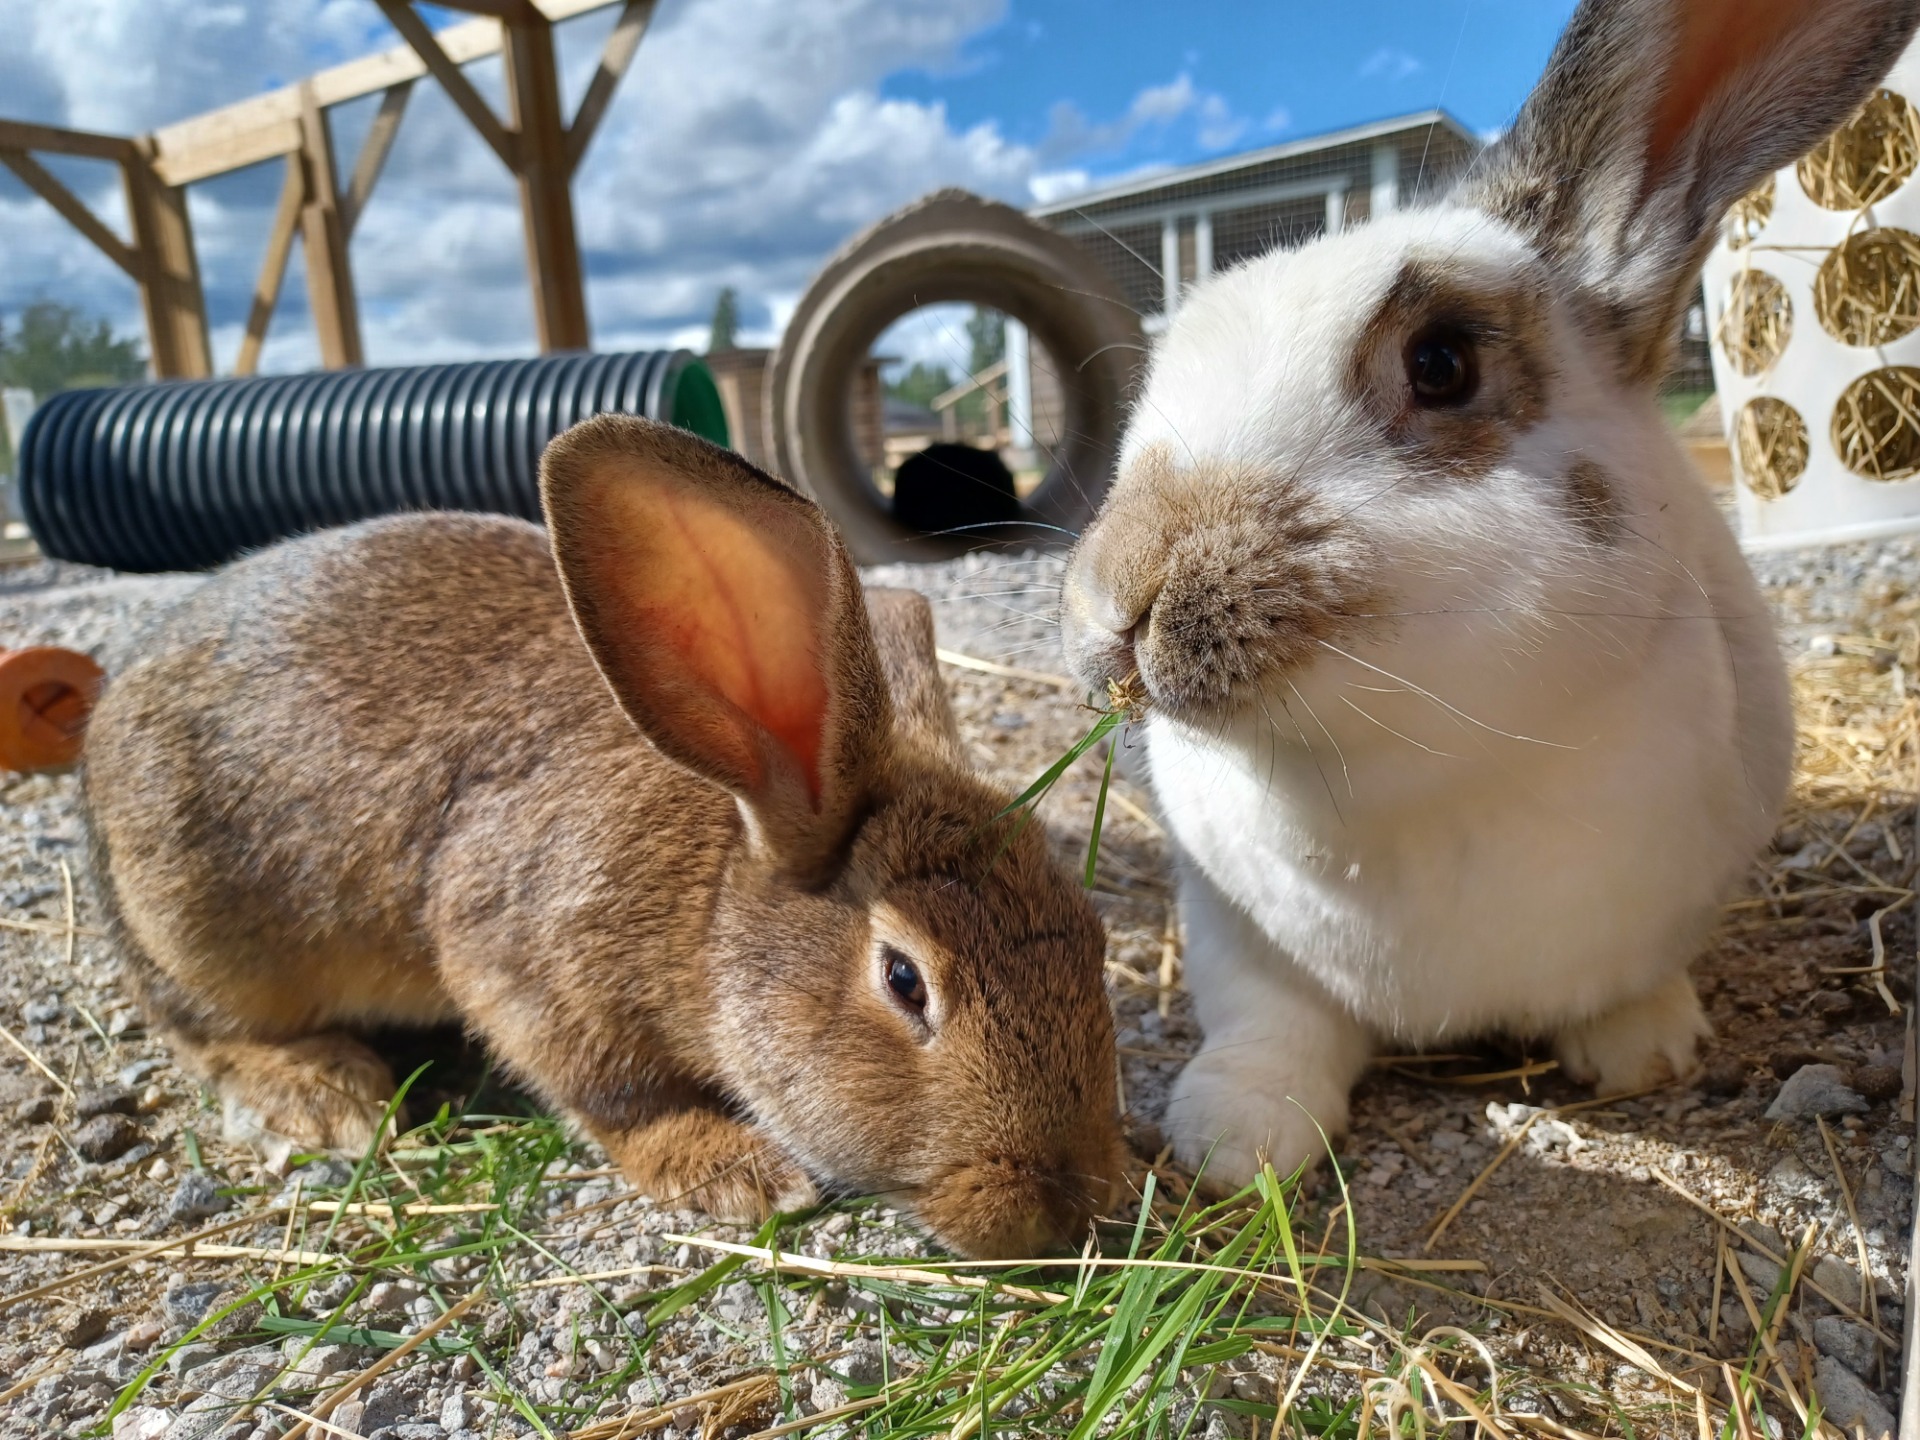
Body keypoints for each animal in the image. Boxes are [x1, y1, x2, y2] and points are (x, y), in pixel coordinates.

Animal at [83, 414, 1123, 1259]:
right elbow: (614, 1098)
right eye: (905, 980)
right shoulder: (524, 966)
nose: (1065, 1205)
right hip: (204, 928)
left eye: (1095, 936)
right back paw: (327, 1095)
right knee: (198, 1028)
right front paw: (736, 1171)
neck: (712, 902)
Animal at [1060, 0, 1919, 1190]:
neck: (1413, 780)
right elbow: (1270, 1022)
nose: (1115, 599)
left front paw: (1647, 1049)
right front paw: (1233, 1143)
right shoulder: (1228, 927)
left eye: (1443, 363)